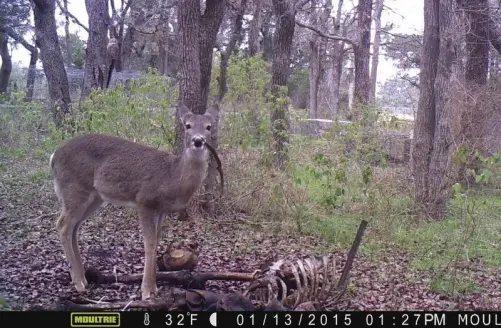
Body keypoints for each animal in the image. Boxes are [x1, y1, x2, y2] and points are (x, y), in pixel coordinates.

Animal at [49, 103, 218, 300]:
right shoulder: (145, 200)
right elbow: (149, 243)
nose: (198, 141)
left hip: (94, 197)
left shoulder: (161, 209)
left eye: (208, 126)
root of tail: (54, 156)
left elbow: (157, 240)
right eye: (188, 125)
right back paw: (78, 283)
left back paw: (84, 278)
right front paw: (146, 291)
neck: (173, 177)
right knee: (63, 225)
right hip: (74, 188)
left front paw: (154, 288)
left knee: (74, 227)